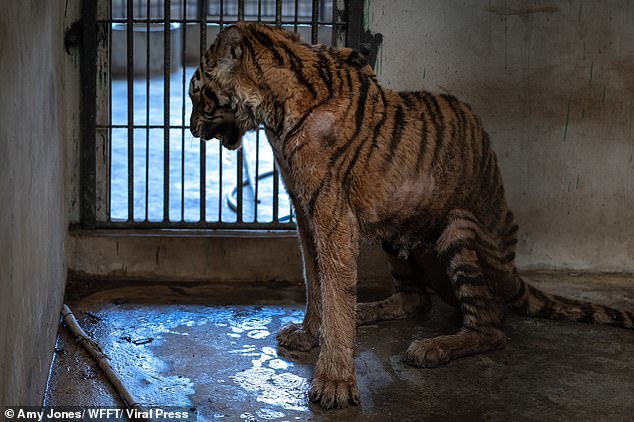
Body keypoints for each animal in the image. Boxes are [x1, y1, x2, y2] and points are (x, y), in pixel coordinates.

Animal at [189, 22, 632, 408]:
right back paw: (367, 313)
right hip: (396, 225)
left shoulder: (332, 218)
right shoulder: (304, 213)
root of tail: (514, 271)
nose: (191, 129)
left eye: (197, 96)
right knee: (415, 299)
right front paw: (310, 333)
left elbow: (333, 290)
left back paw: (431, 347)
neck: (274, 108)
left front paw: (333, 382)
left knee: (491, 327)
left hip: (461, 229)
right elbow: (315, 282)